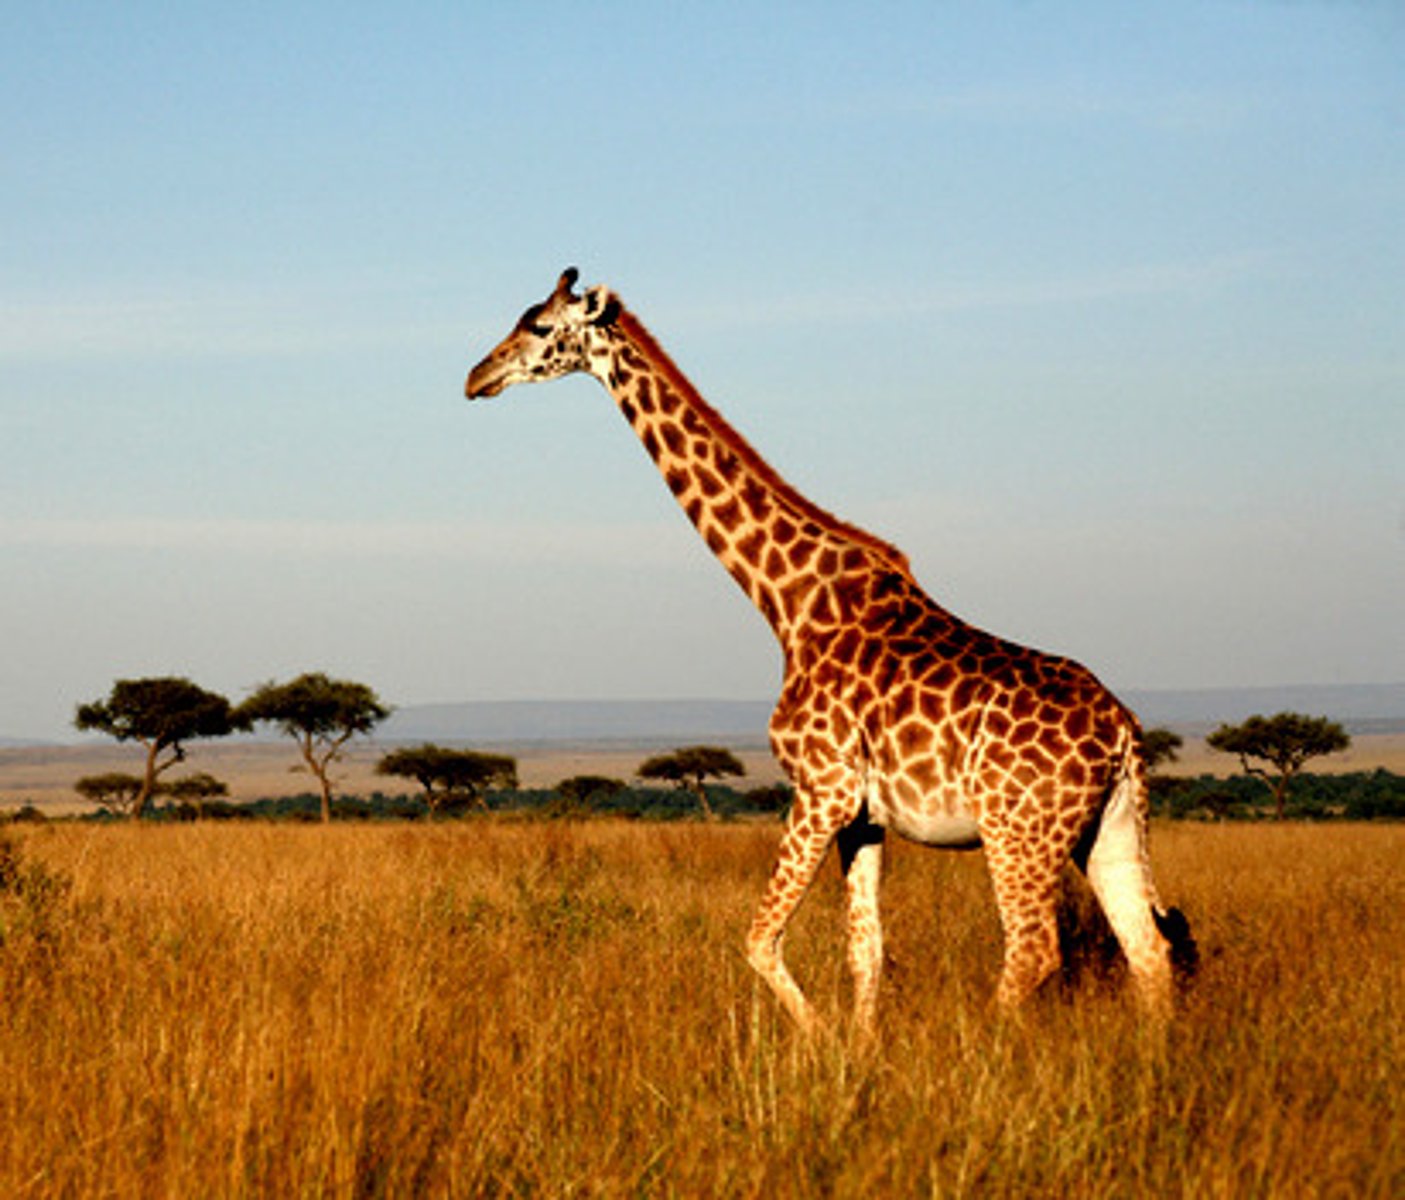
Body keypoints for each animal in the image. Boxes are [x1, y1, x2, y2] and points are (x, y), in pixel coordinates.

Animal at [465, 268, 1196, 1033]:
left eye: (541, 327)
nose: (476, 376)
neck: (788, 603)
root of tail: (1123, 732)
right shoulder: (864, 816)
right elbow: (865, 951)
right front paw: (860, 1047)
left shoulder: (822, 789)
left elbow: (759, 939)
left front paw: (818, 1039)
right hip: (1107, 827)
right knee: (1146, 949)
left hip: (1017, 829)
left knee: (1034, 949)